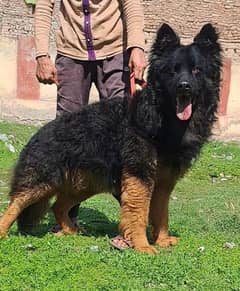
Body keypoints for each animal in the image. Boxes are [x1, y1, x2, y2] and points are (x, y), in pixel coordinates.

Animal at [0, 23, 222, 256]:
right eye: (173, 71)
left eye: (197, 70)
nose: (184, 86)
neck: (160, 116)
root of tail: (40, 132)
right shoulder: (139, 175)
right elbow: (138, 213)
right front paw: (142, 246)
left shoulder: (164, 181)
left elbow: (161, 212)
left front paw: (161, 240)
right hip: (42, 181)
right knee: (15, 204)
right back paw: (4, 231)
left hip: (86, 183)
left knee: (58, 206)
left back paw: (70, 230)